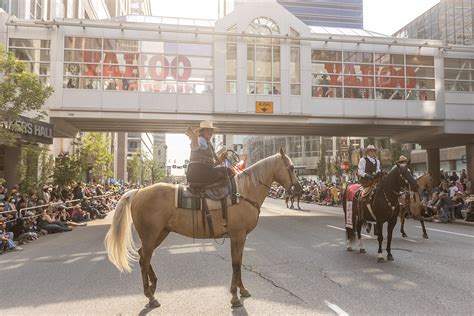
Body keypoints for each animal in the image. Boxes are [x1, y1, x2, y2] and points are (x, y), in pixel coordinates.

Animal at [105, 150, 302, 308]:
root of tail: (137, 192)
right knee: (145, 260)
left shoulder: (240, 238)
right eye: (291, 168)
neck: (243, 193)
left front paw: (242, 290)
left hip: (160, 233)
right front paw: (234, 296)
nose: (299, 189)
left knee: (142, 257)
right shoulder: (237, 236)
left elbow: (239, 262)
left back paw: (153, 286)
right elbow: (235, 263)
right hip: (150, 235)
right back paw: (151, 297)